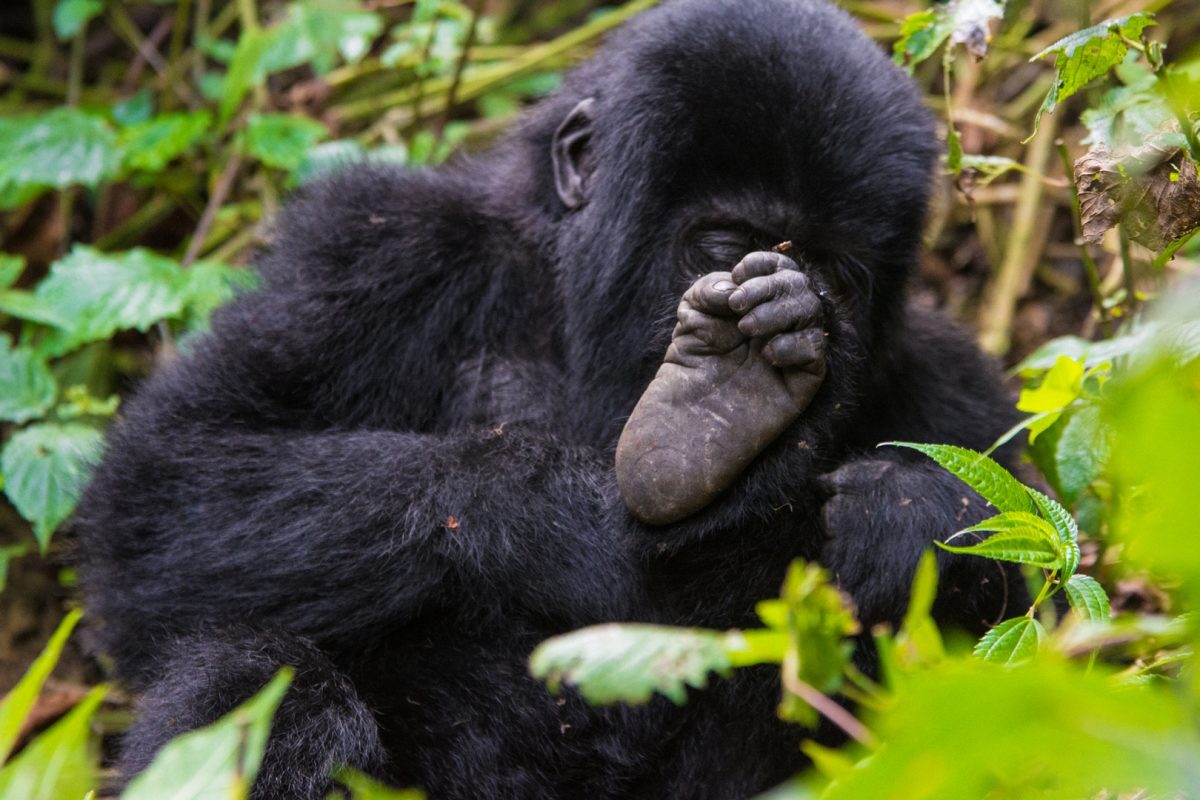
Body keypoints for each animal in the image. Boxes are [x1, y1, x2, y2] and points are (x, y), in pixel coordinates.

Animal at [77, 0, 1022, 796]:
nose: (799, 304)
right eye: (726, 243)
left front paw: (907, 514)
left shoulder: (948, 377)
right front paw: (572, 514)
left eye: (836, 275)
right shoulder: (378, 248)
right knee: (262, 677)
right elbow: (158, 497)